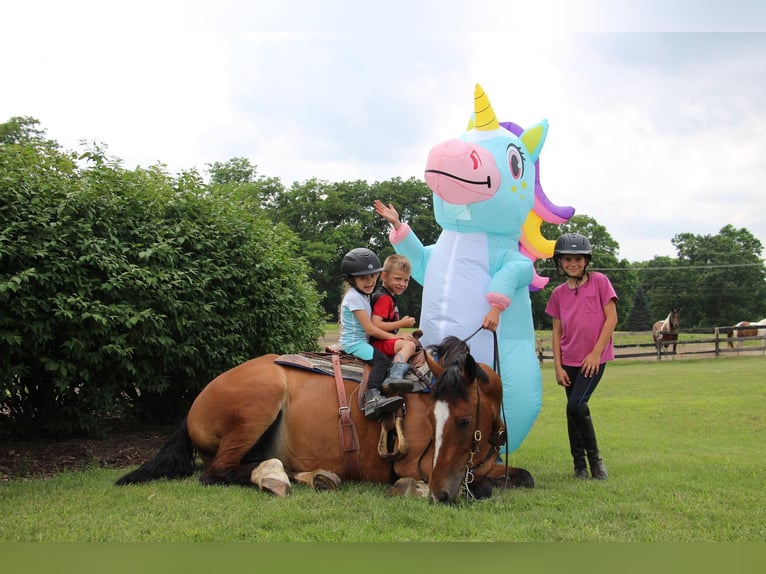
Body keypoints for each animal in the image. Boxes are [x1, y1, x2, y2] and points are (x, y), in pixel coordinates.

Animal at [115, 338, 536, 504]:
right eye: (436, 418)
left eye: (463, 421)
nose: (441, 494)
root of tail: (194, 406)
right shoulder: (412, 464)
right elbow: (482, 485)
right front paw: (412, 489)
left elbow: (523, 478)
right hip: (258, 403)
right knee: (216, 472)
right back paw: (279, 475)